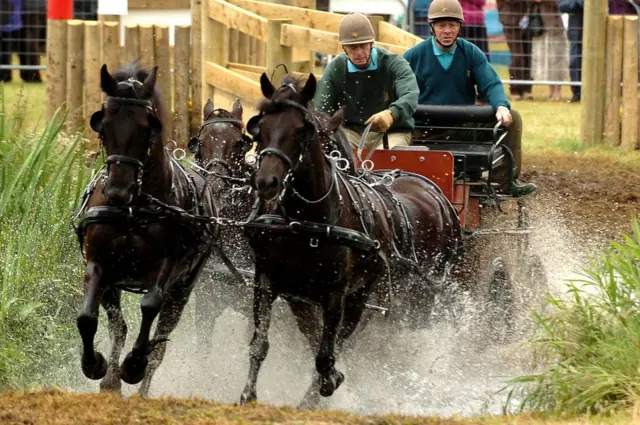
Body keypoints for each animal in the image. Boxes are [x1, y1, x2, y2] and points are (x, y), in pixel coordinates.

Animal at [74, 61, 219, 396]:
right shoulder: (99, 264)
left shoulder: (166, 268)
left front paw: (133, 366)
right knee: (119, 328)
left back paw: (141, 385)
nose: (117, 191)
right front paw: (96, 366)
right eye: (104, 126)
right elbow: (88, 318)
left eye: (146, 128)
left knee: (160, 339)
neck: (133, 210)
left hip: (184, 286)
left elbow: (150, 307)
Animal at [239, 73, 460, 404]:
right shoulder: (270, 282)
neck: (307, 221)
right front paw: (248, 394)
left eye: (301, 129)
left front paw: (328, 383)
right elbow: (262, 343)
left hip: (393, 296)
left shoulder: (337, 294)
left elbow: (326, 354)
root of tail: (429, 188)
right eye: (260, 126)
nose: (266, 181)